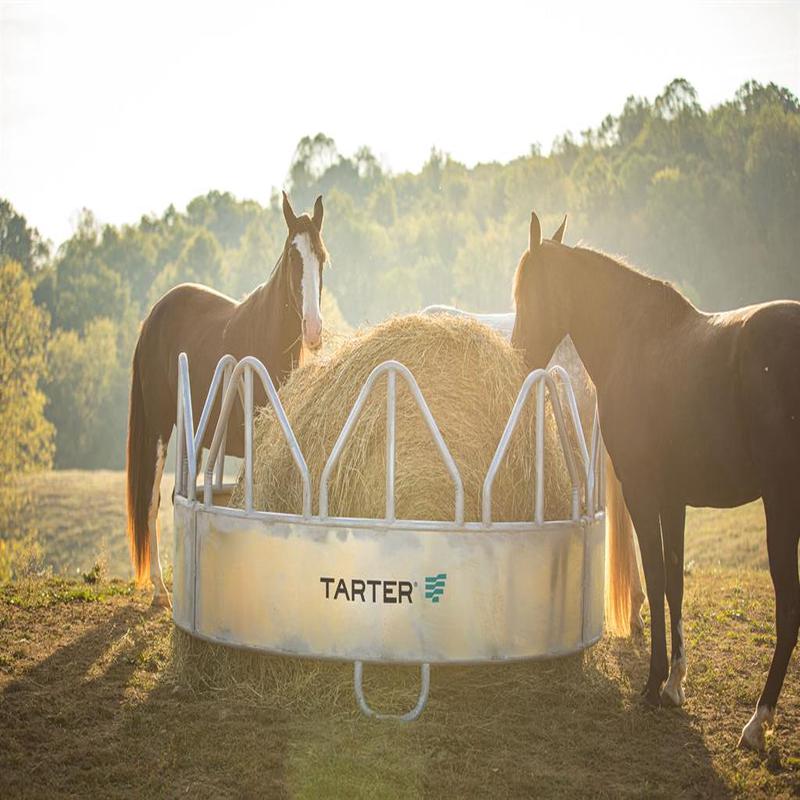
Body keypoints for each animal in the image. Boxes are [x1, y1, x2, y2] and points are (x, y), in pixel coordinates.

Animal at [126, 192, 329, 606]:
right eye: (293, 256)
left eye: (322, 256)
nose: (314, 330)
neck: (266, 337)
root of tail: (155, 315)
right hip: (159, 427)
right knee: (153, 500)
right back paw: (160, 590)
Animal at [512, 210, 800, 751]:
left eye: (525, 291)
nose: (520, 356)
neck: (635, 339)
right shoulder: (674, 501)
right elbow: (675, 581)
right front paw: (674, 683)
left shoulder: (645, 495)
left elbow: (658, 576)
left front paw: (651, 685)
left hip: (782, 506)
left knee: (788, 607)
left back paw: (758, 721)